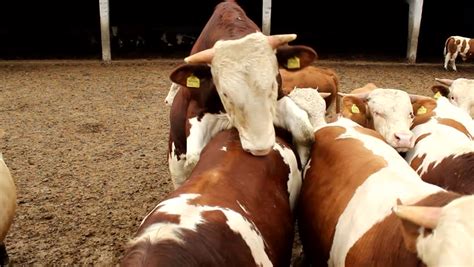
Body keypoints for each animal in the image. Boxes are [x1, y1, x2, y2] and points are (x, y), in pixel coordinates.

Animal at [168, 0, 318, 188]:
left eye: (273, 84)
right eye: (225, 94)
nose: (260, 149)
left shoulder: (280, 99)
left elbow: (305, 131)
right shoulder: (196, 112)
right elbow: (193, 158)